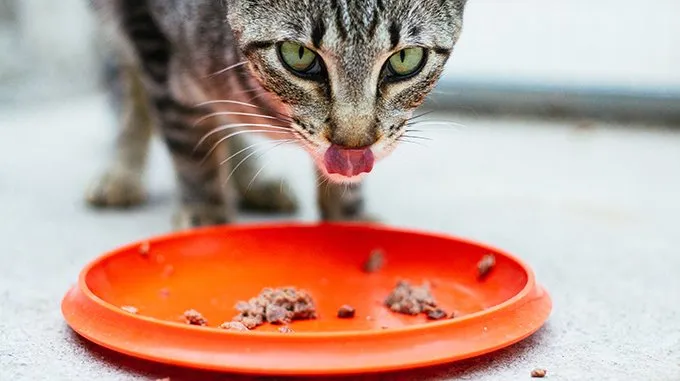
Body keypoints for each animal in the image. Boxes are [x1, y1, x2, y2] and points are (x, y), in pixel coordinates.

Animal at [85, 0, 468, 229]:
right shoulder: (149, 34)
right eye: (298, 55)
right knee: (130, 84)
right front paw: (206, 222)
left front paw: (350, 223)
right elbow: (192, 153)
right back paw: (123, 174)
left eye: (405, 59)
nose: (353, 145)